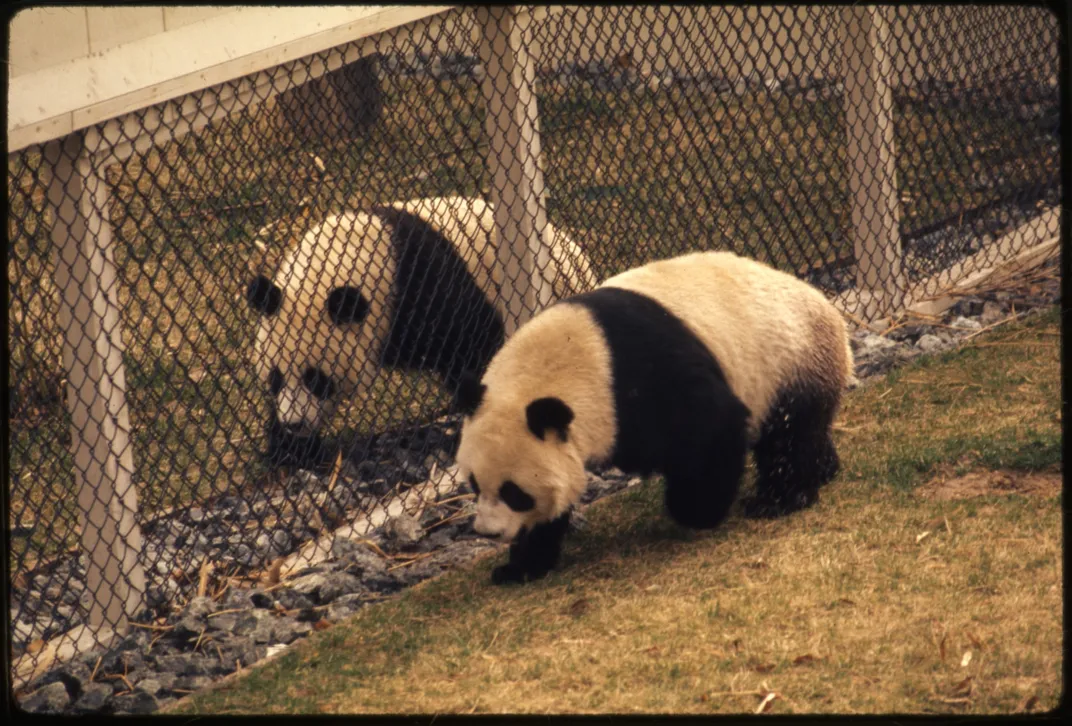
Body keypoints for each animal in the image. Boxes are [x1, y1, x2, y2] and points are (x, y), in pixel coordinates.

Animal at [245, 194, 600, 465]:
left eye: (316, 379)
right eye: (275, 377)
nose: (295, 424)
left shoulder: (426, 287)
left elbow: (471, 347)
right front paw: (290, 451)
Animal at [452, 248, 853, 583]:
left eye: (514, 493)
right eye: (474, 483)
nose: (487, 532)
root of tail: (830, 309)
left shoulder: (641, 378)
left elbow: (711, 427)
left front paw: (695, 511)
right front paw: (520, 566)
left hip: (789, 360)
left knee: (789, 436)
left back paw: (777, 499)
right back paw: (825, 469)